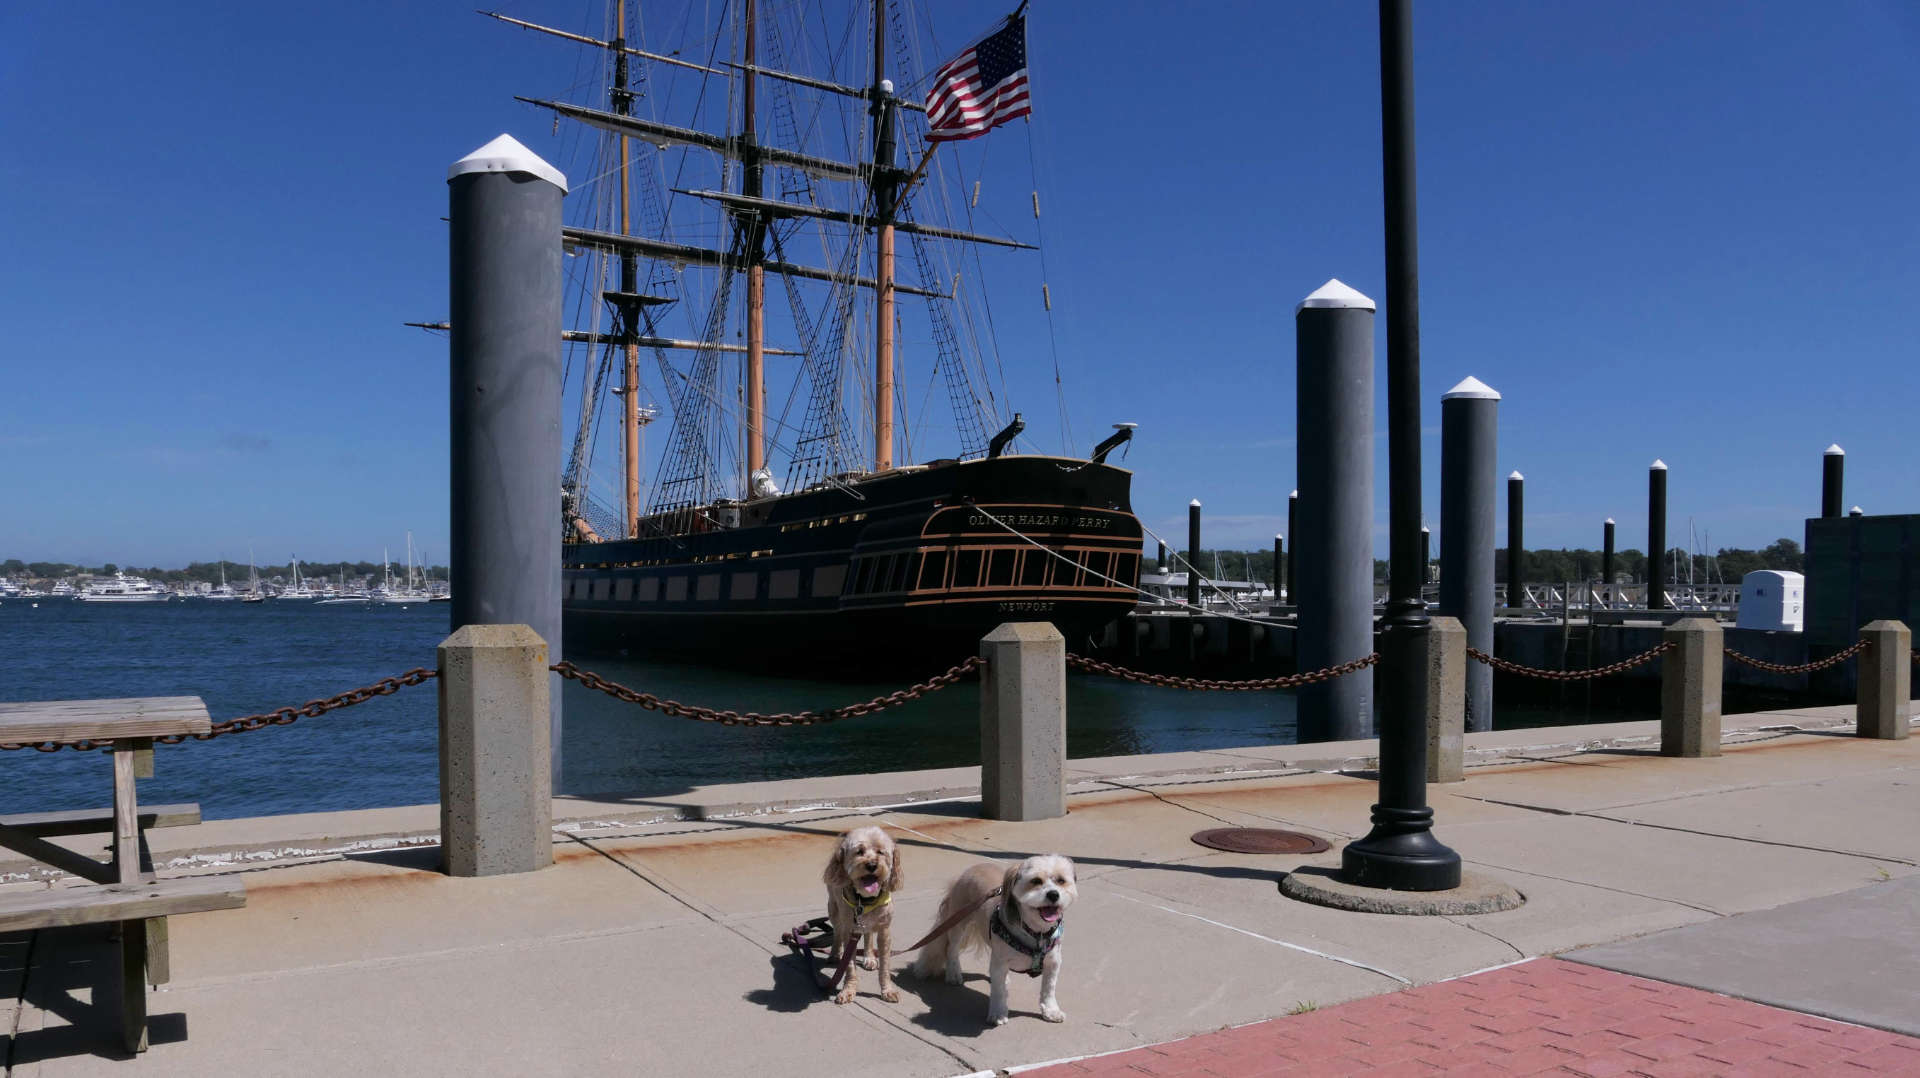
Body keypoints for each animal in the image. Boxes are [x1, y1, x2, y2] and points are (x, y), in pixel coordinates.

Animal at [906, 853, 1075, 1022]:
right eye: (1036, 881)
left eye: (1061, 880)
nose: (1053, 894)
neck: (1035, 932)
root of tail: (971, 869)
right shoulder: (1000, 962)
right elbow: (998, 990)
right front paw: (998, 1012)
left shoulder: (1053, 962)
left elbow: (1049, 989)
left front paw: (1051, 1011)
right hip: (959, 923)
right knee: (951, 949)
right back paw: (953, 974)